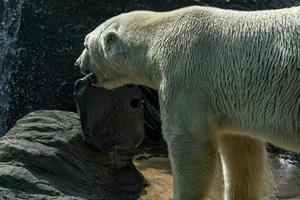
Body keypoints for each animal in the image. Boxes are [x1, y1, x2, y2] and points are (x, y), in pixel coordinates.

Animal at [75, 5, 300, 200]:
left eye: (85, 44)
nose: (77, 63)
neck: (158, 35)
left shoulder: (185, 77)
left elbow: (189, 141)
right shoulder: (233, 99)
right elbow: (241, 151)